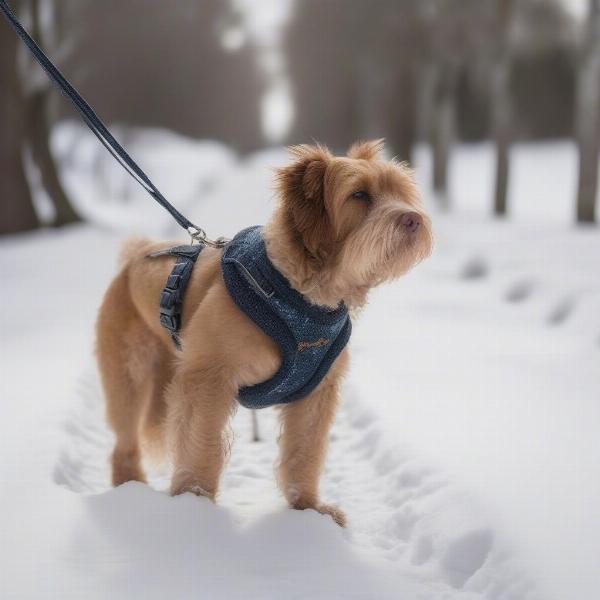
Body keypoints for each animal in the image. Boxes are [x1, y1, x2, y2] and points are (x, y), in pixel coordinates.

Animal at [97, 139, 432, 524]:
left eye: (400, 191)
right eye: (359, 194)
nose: (414, 219)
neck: (297, 293)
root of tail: (136, 256)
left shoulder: (316, 392)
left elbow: (305, 452)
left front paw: (307, 508)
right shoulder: (207, 379)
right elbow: (201, 445)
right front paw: (195, 505)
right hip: (129, 376)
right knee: (124, 441)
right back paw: (130, 490)